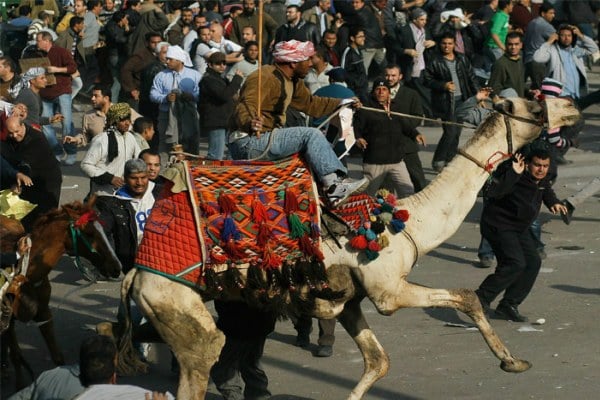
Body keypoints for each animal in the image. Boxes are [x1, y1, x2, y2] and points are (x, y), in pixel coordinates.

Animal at [0, 198, 122, 390]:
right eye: (89, 233)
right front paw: (20, 384)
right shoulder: (9, 318)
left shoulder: (44, 312)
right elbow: (17, 356)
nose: (116, 267)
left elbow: (57, 356)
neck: (27, 271)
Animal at [113, 97, 580, 400]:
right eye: (535, 108)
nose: (572, 106)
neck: (408, 221)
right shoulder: (388, 290)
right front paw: (512, 362)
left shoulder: (348, 299)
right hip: (174, 300)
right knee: (205, 353)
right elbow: (465, 296)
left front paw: (513, 361)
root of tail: (136, 272)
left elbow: (378, 361)